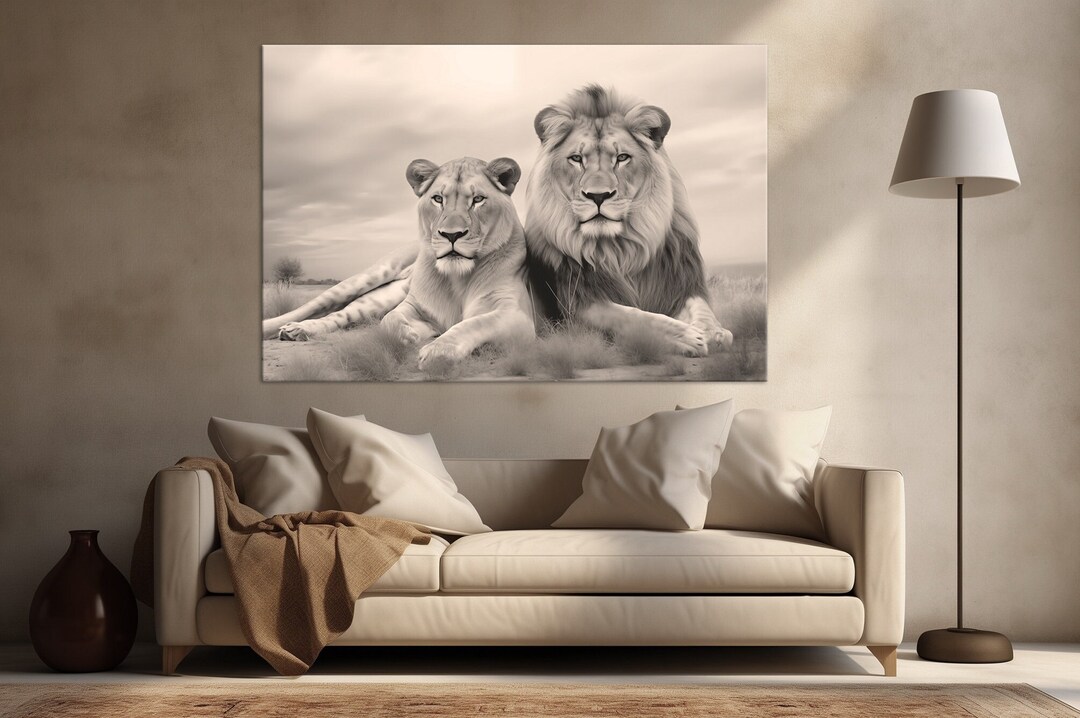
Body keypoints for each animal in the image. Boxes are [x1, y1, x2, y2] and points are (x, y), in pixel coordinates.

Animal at [379, 156, 535, 370]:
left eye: (478, 199)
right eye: (438, 199)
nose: (451, 234)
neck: (457, 278)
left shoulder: (517, 314)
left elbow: (475, 323)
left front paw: (438, 350)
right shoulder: (416, 303)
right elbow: (387, 320)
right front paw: (409, 336)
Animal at [525, 84, 733, 357]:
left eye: (622, 158)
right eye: (577, 159)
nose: (598, 195)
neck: (618, 249)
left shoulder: (681, 283)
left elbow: (703, 309)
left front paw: (715, 333)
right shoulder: (577, 305)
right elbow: (632, 316)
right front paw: (688, 337)